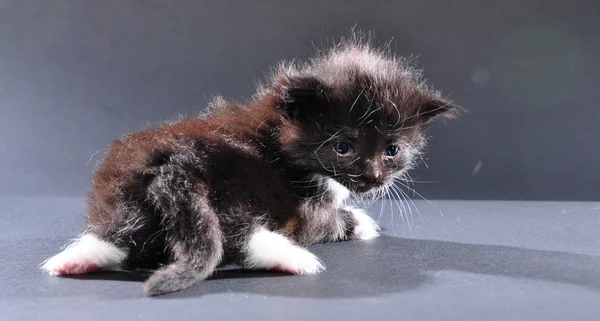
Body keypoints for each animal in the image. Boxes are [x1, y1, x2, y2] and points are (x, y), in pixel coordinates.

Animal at [39, 32, 458, 296]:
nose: (372, 176)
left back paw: (74, 260)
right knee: (239, 237)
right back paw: (295, 259)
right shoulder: (308, 208)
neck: (281, 134)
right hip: (230, 191)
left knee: (123, 233)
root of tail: (177, 164)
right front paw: (365, 222)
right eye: (343, 147)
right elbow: (332, 220)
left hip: (131, 193)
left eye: (393, 150)